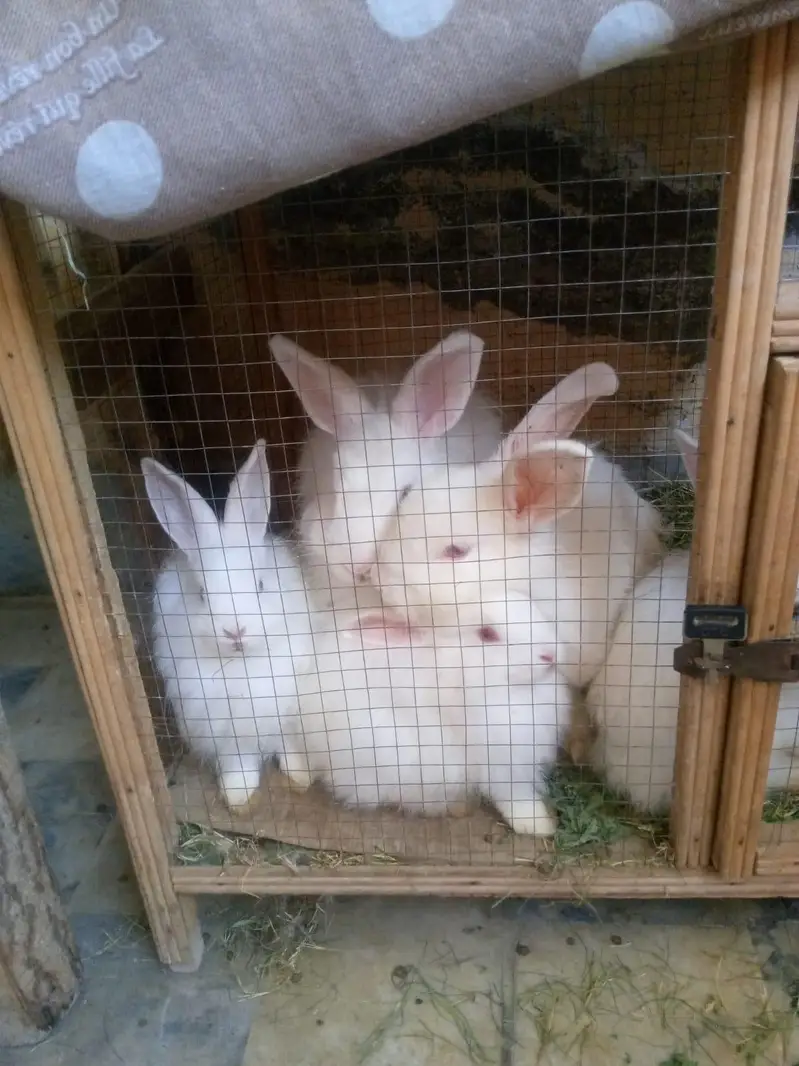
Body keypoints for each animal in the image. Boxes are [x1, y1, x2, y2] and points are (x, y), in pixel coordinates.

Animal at [141, 441, 316, 811]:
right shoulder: (225, 730)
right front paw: (238, 798)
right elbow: (239, 764)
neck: (240, 665)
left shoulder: (289, 716)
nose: (235, 631)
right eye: (202, 594)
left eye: (261, 585)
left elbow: (290, 749)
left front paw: (301, 777)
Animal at [281, 598, 573, 836]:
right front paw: (539, 825)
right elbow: (515, 797)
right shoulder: (499, 761)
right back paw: (299, 776)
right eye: (487, 633)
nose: (551, 653)